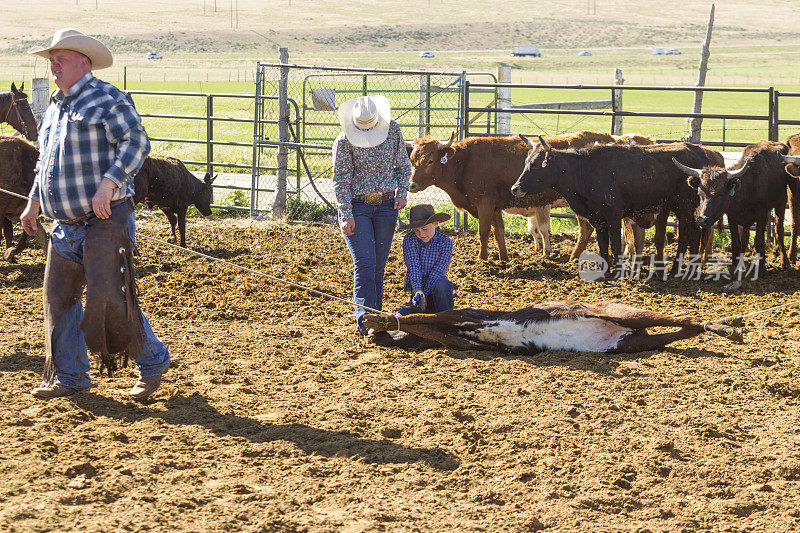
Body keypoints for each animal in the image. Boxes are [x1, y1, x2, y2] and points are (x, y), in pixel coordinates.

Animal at [512, 137, 724, 274]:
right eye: (526, 161)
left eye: (536, 164)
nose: (515, 188)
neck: (585, 170)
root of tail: (699, 151)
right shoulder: (597, 218)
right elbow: (602, 245)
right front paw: (605, 271)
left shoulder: (613, 215)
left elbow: (615, 245)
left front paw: (617, 271)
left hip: (685, 207)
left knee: (688, 236)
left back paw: (678, 270)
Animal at [676, 140, 792, 270]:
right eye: (699, 193)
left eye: (720, 195)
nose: (701, 220)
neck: (747, 187)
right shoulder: (731, 216)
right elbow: (736, 242)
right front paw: (734, 267)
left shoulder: (761, 213)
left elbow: (758, 241)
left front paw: (761, 268)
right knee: (745, 237)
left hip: (781, 202)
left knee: (779, 230)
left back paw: (785, 262)